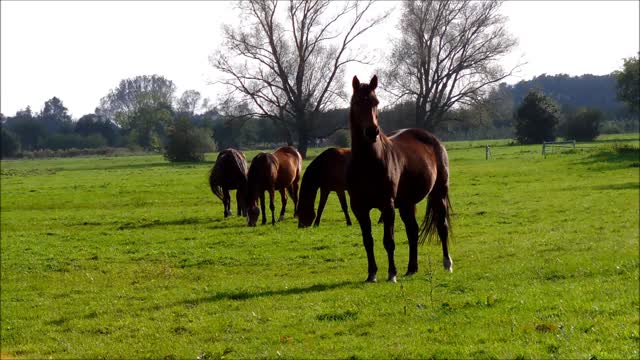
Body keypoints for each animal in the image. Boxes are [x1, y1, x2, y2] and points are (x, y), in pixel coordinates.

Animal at [348, 75, 452, 284]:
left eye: (376, 102)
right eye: (357, 102)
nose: (372, 132)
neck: (368, 163)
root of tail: (433, 139)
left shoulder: (387, 206)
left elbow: (389, 241)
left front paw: (392, 273)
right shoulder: (359, 208)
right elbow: (368, 241)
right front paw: (371, 274)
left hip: (439, 194)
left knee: (442, 226)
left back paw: (447, 264)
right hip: (406, 203)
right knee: (412, 231)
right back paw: (412, 268)